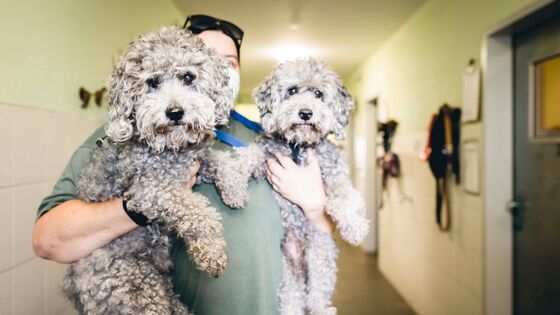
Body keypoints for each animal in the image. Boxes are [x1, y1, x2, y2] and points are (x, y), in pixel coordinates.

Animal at [213, 58, 368, 314]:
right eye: (292, 90)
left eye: (318, 93)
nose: (305, 112)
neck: (299, 147)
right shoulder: (265, 153)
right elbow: (245, 158)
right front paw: (231, 185)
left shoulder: (335, 174)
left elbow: (344, 198)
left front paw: (355, 228)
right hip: (288, 279)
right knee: (292, 300)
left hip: (321, 259)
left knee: (317, 297)